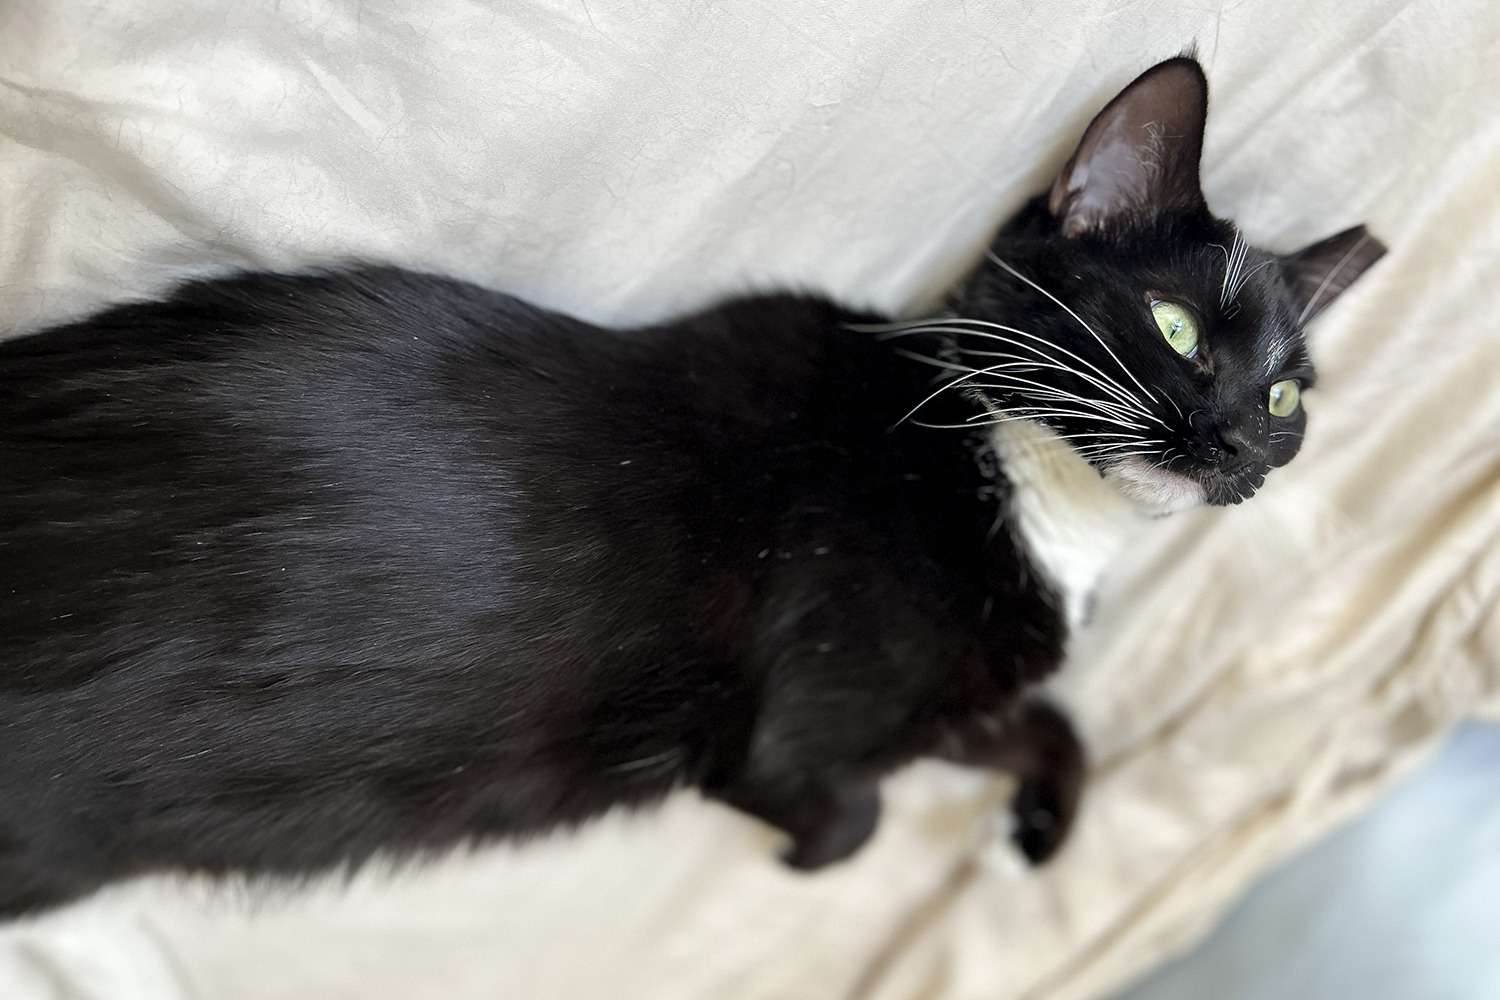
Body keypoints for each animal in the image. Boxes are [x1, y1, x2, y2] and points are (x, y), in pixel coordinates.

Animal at [0, 54, 1380, 917]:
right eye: (1179, 329)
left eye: (1288, 400)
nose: (1239, 445)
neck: (1029, 493)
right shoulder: (799, 723)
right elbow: (848, 810)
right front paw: (811, 859)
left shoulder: (948, 697)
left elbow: (1050, 722)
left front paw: (1037, 827)